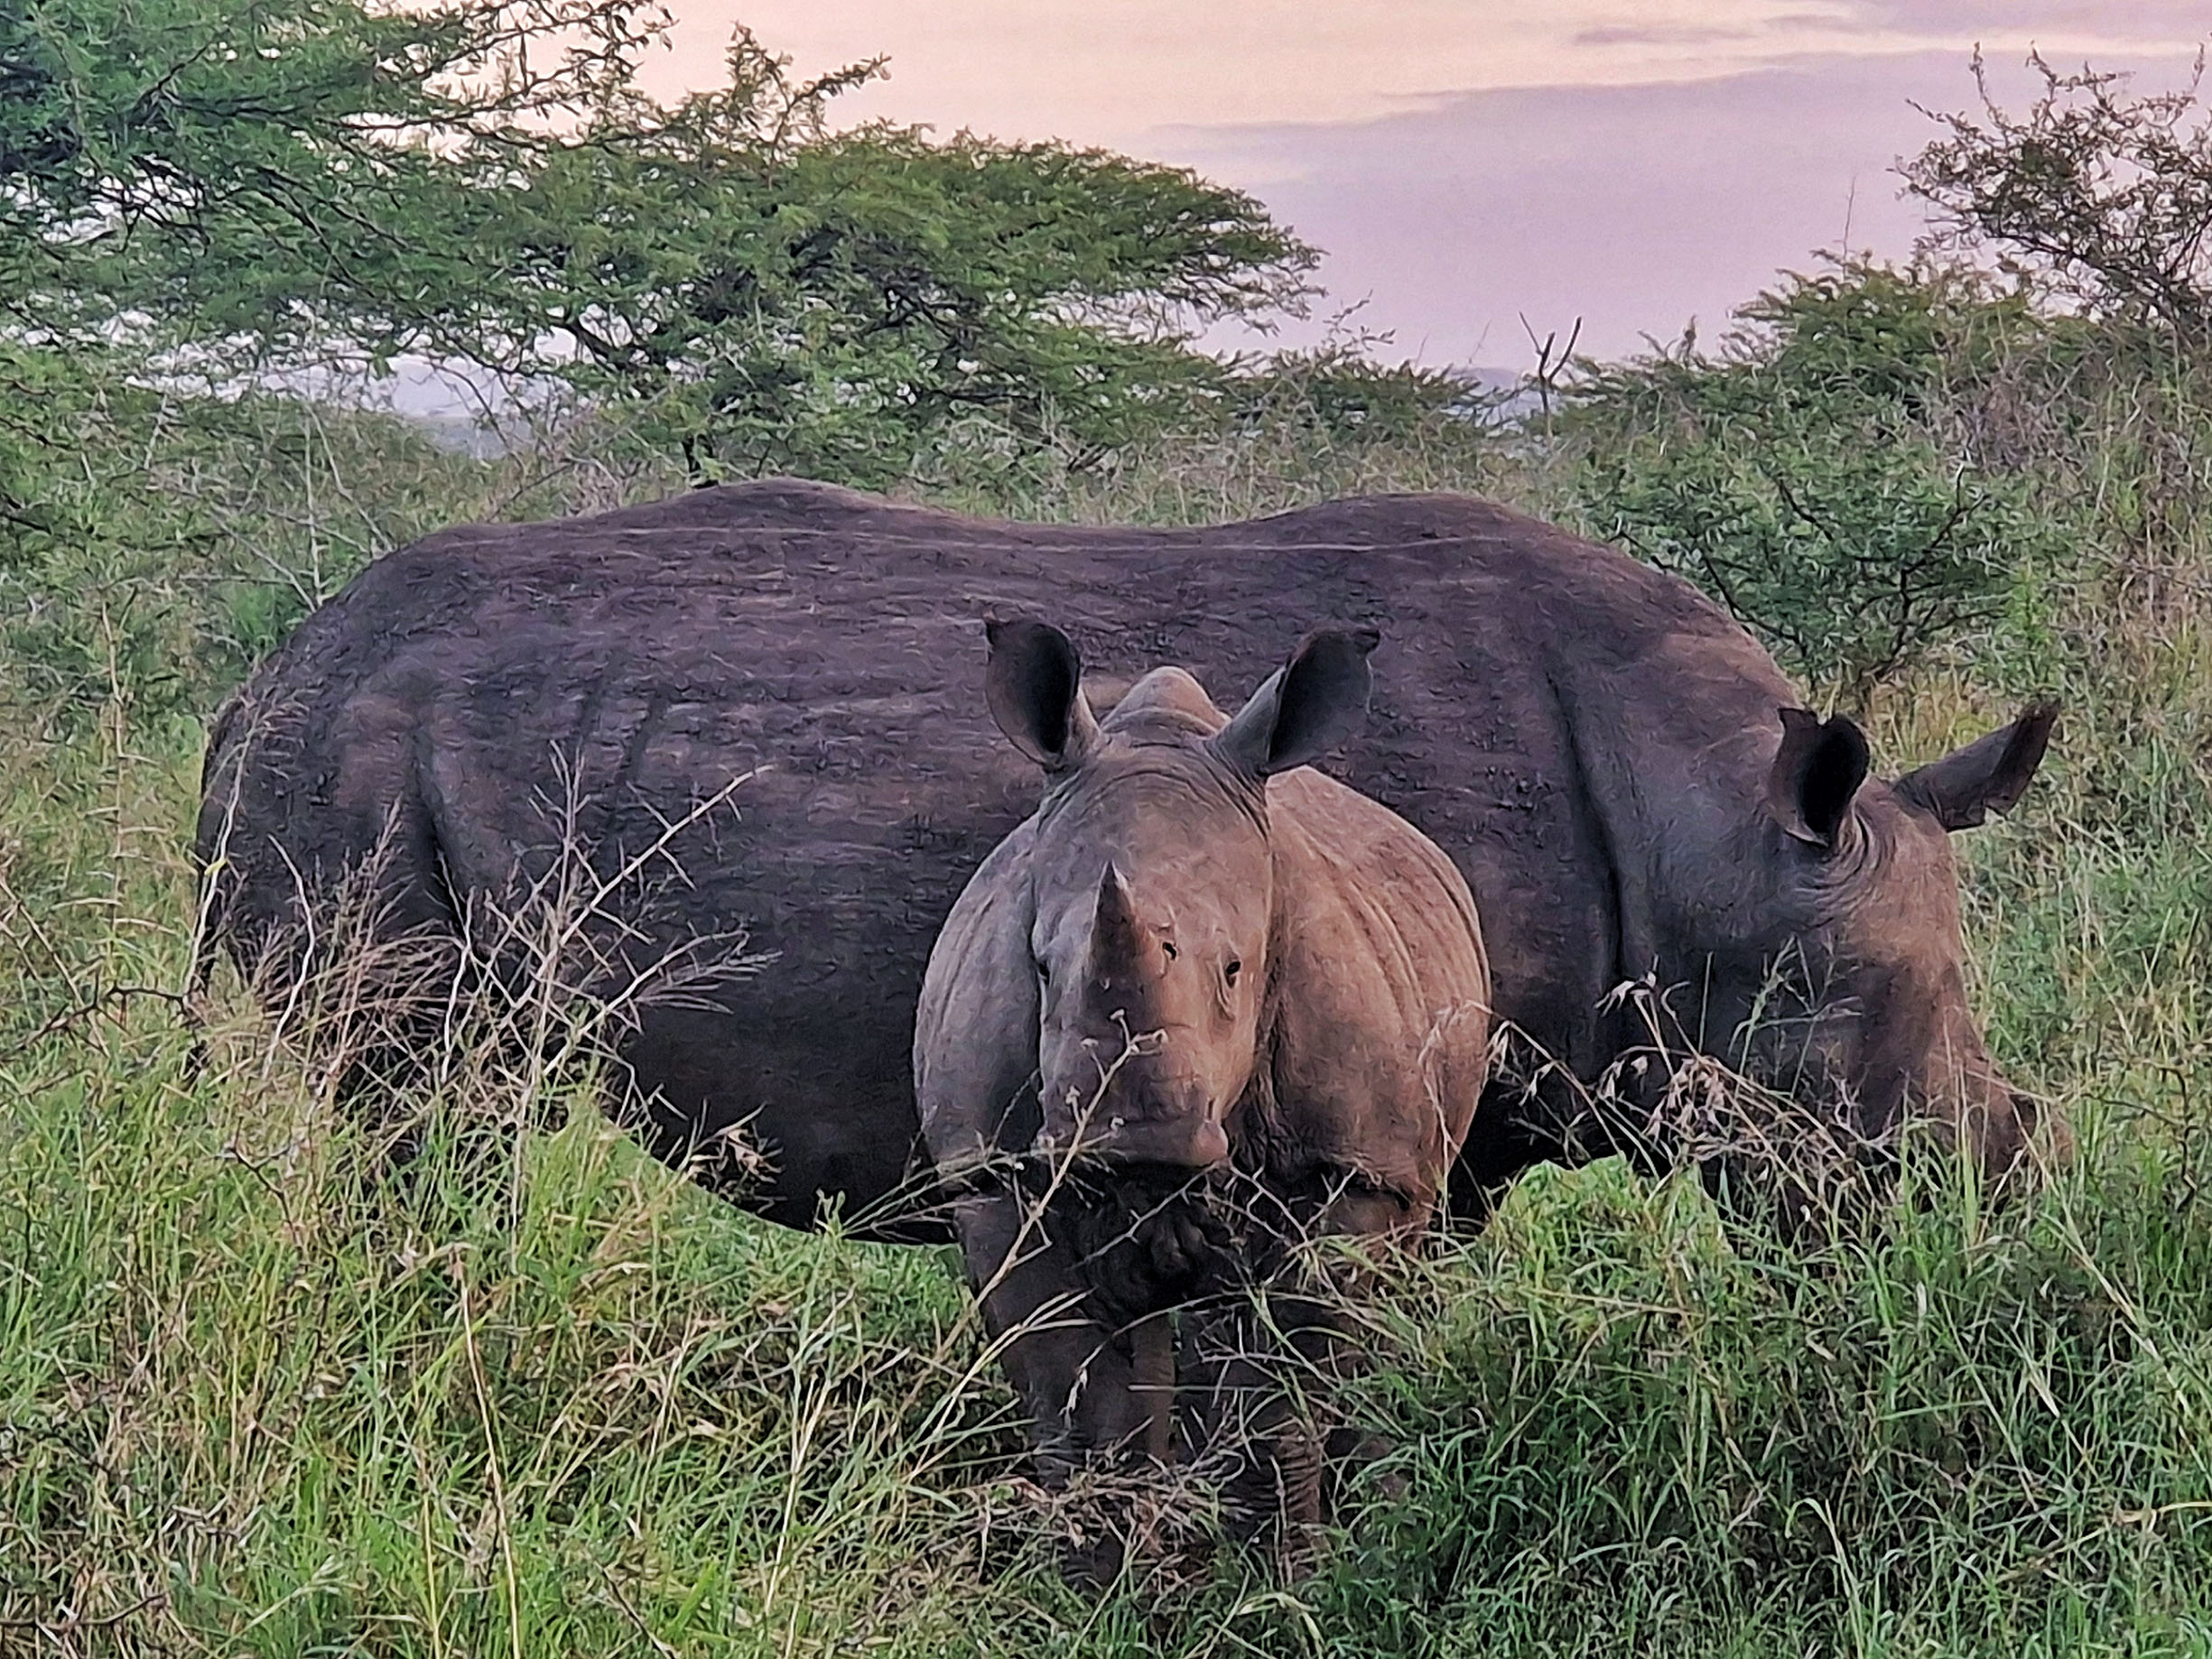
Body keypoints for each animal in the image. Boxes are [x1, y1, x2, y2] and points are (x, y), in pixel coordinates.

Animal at [193, 479, 2060, 1241]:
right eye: (1831, 1036)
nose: (1977, 1206)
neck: (1709, 828)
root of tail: (262, 671)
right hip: (352, 764)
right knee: (426, 1096)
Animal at [914, 619, 1489, 1550]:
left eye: (1234, 969)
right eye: (1040, 967)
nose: (1138, 1137)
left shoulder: (1350, 1168)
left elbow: (1283, 1408)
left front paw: (1292, 1574)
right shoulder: (997, 1178)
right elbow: (1086, 1416)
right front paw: (1105, 1580)